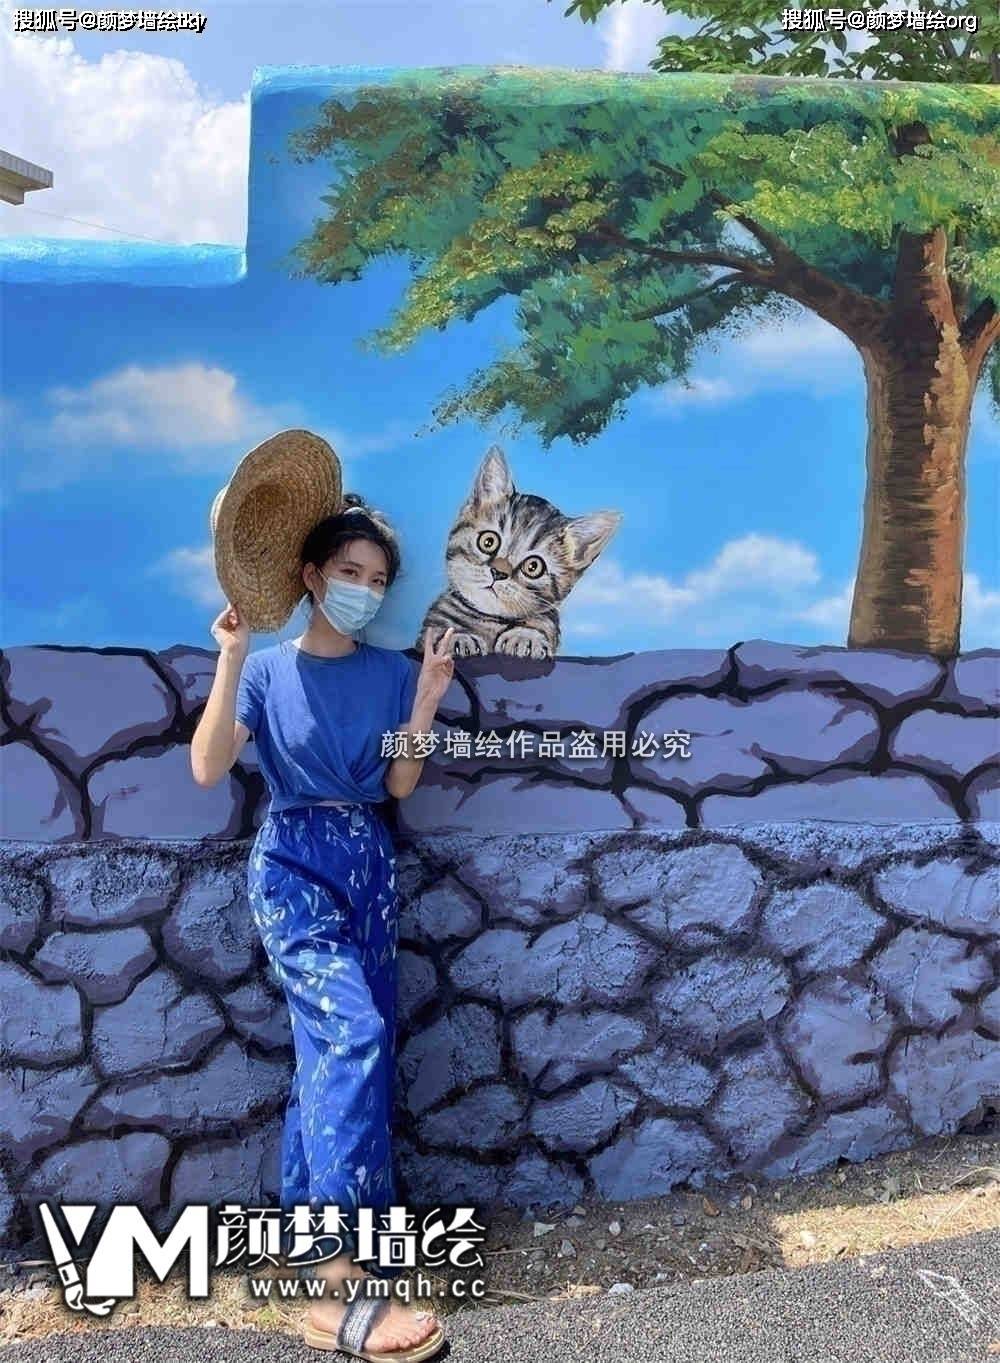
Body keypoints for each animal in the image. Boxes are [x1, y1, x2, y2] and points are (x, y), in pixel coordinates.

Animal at [416, 445, 622, 659]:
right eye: (488, 542)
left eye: (533, 566)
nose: (498, 572)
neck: (490, 621)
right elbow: (434, 634)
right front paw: (457, 638)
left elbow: (542, 623)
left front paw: (525, 637)